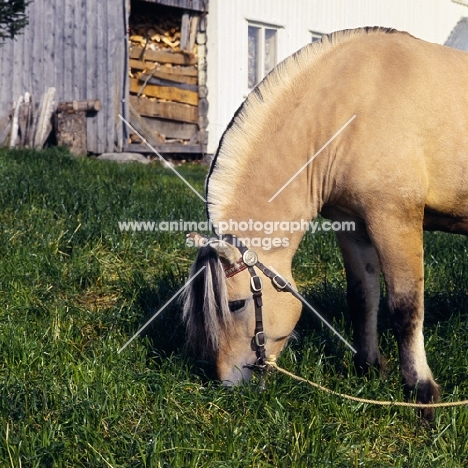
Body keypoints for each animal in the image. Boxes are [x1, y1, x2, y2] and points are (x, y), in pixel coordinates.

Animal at [183, 27, 468, 418]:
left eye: (237, 304)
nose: (229, 384)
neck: (354, 103)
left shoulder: (396, 219)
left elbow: (405, 308)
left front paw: (421, 391)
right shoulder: (354, 226)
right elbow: (363, 297)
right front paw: (369, 368)